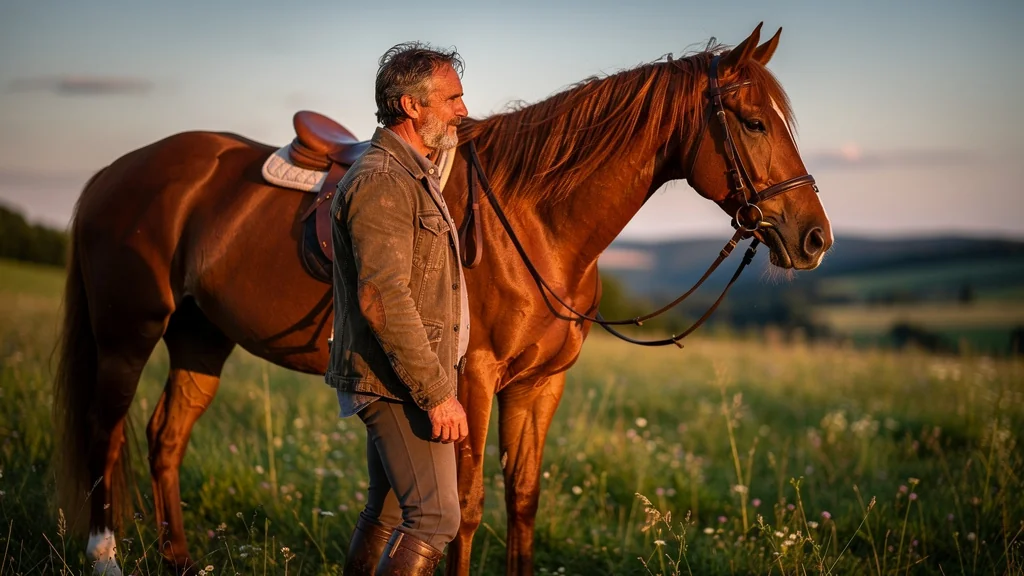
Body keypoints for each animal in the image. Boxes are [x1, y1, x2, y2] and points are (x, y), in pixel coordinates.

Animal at [53, 23, 832, 575]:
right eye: (754, 123)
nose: (815, 237)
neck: (536, 218)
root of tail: (115, 172)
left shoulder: (540, 385)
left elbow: (523, 501)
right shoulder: (471, 379)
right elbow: (468, 509)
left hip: (201, 336)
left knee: (165, 436)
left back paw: (181, 562)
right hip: (127, 333)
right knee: (105, 431)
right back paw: (105, 558)